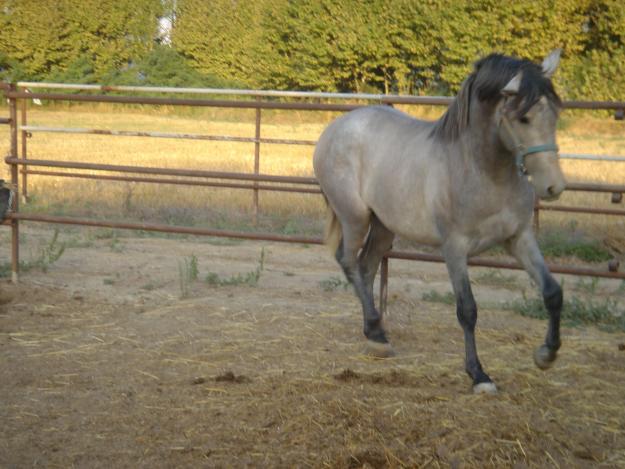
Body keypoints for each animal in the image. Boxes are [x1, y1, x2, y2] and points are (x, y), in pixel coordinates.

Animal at [314, 49, 564, 394]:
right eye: (523, 118)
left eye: (553, 114)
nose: (554, 187)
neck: (482, 171)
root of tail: (335, 128)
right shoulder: (454, 247)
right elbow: (467, 310)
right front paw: (479, 375)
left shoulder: (519, 238)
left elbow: (552, 292)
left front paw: (546, 355)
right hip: (355, 217)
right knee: (349, 261)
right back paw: (376, 332)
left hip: (384, 226)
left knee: (366, 267)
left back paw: (376, 334)